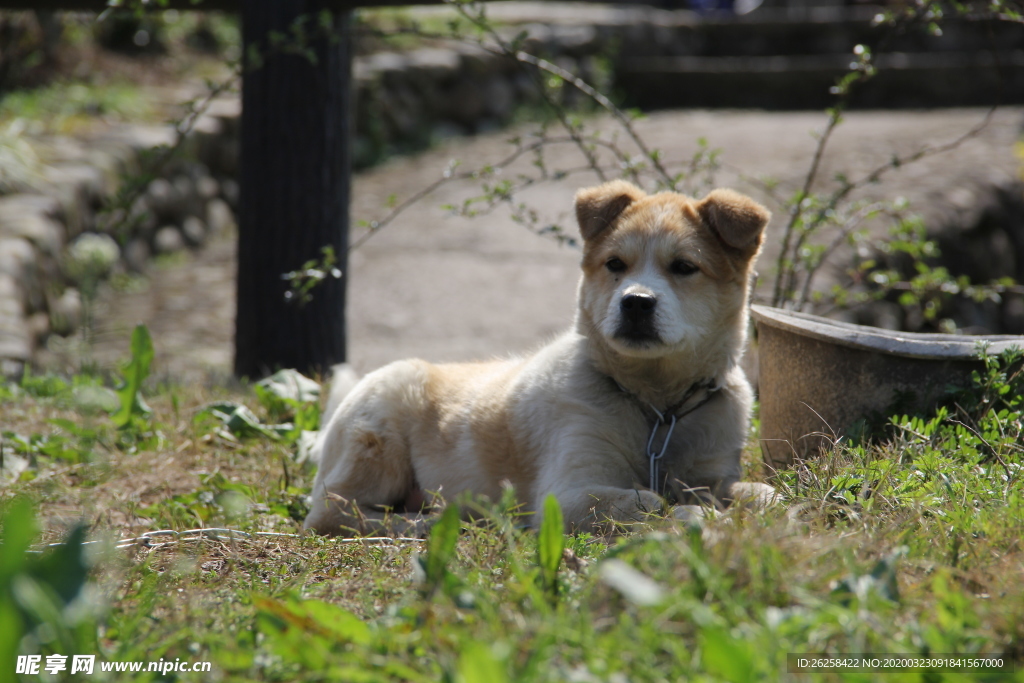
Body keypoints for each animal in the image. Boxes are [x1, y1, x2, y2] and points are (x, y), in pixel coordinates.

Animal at [303, 179, 774, 536]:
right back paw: (423, 522)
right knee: (333, 512)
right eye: (615, 264)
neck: (657, 408)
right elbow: (651, 501)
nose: (636, 303)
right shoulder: (566, 494)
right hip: (378, 438)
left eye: (684, 267)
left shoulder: (715, 470)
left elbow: (760, 493)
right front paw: (694, 514)